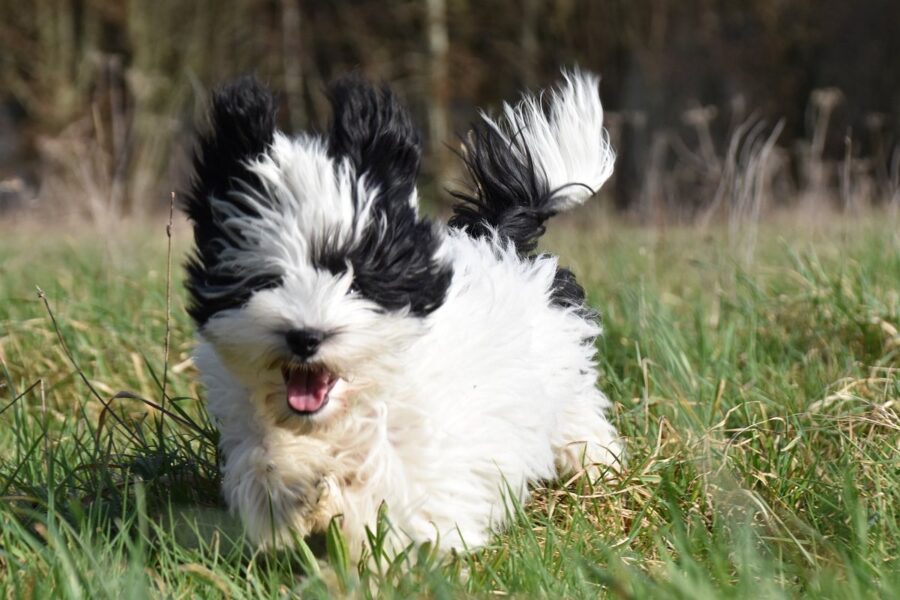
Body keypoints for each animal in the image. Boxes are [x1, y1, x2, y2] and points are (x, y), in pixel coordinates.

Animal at [180, 67, 624, 556]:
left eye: (357, 277)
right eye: (263, 279)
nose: (305, 336)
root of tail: (497, 232)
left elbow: (401, 486)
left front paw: (382, 551)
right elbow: (267, 462)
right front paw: (296, 486)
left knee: (579, 420)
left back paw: (599, 469)